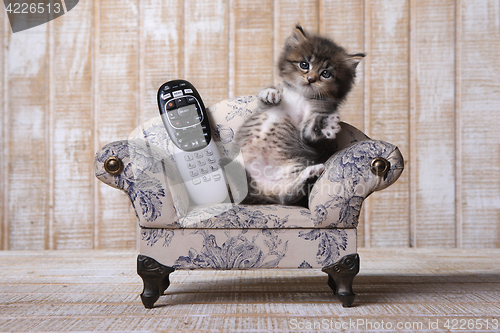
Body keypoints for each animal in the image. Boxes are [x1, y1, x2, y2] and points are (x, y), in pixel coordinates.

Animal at [234, 24, 364, 205]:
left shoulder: (312, 121)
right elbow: (266, 97)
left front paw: (326, 126)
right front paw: (270, 93)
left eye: (325, 74)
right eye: (304, 64)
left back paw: (310, 173)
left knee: (288, 195)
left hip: (292, 170)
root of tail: (260, 191)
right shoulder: (262, 108)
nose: (310, 79)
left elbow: (311, 130)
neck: (301, 96)